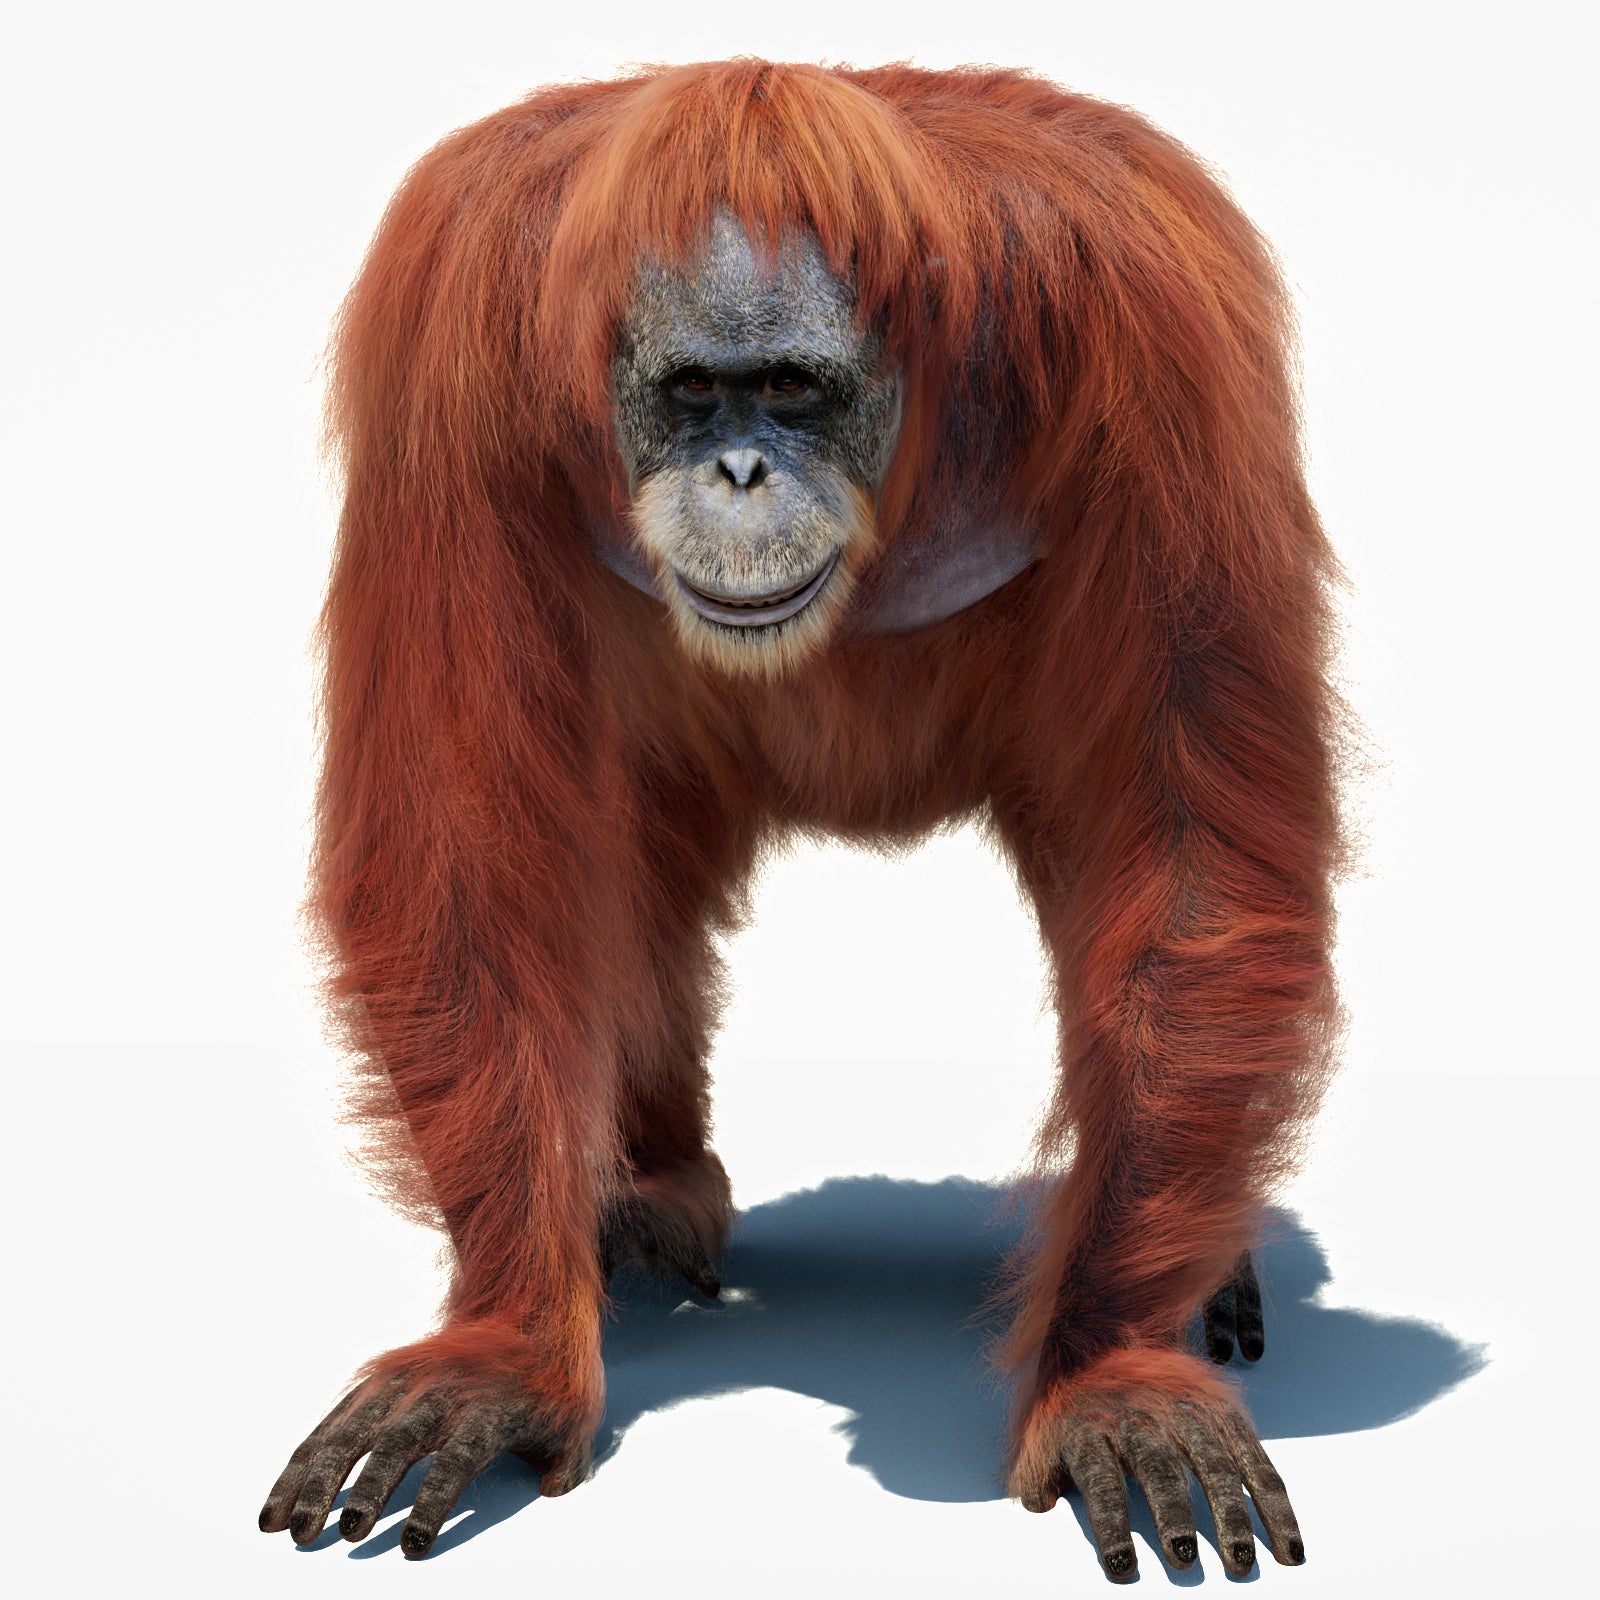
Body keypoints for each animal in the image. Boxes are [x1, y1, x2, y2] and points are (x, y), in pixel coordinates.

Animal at [259, 60, 1342, 1582]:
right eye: (694, 395)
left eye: (787, 391)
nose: (740, 476)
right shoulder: (450, 328)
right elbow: (462, 844)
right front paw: (505, 1353)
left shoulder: (1160, 325)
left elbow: (1187, 848)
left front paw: (1109, 1374)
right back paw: (642, 1200)